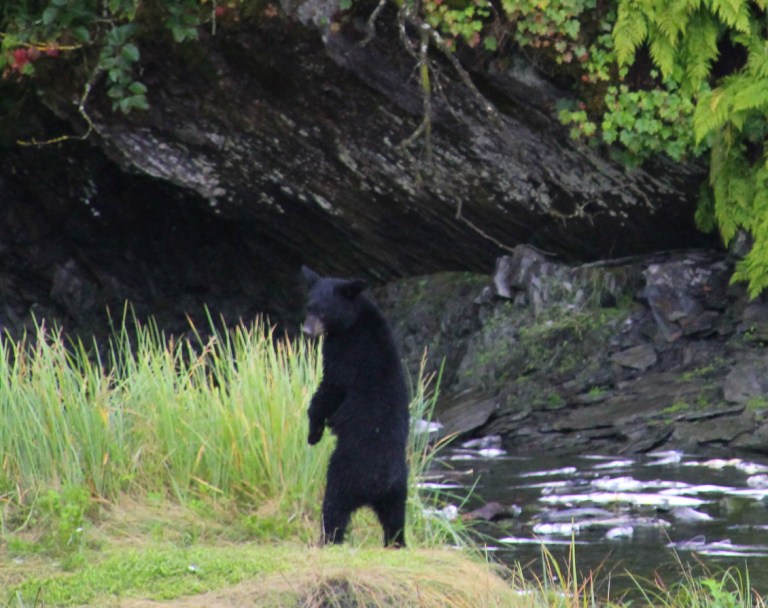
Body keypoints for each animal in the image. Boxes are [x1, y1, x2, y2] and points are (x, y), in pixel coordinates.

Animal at [301, 266, 409, 547]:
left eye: (323, 311)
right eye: (308, 306)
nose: (307, 331)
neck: (355, 318)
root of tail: (379, 484)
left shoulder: (345, 352)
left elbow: (329, 388)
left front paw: (314, 432)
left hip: (344, 473)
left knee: (334, 508)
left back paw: (327, 540)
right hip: (398, 493)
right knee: (395, 521)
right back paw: (396, 543)